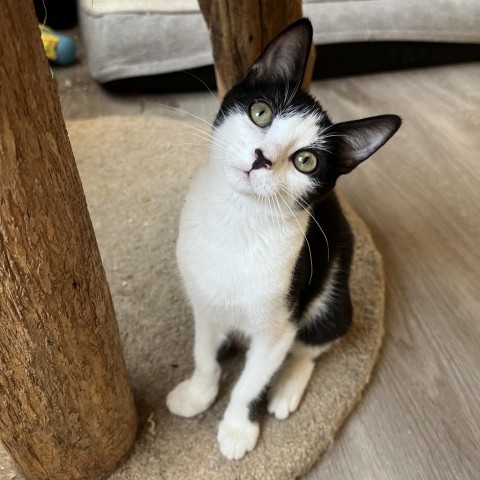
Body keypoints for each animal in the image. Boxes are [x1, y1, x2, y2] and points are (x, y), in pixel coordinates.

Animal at [166, 19, 402, 462]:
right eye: (261, 112)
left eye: (305, 161)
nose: (262, 157)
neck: (238, 220)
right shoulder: (203, 298)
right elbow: (204, 351)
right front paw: (198, 393)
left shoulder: (279, 320)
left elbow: (253, 379)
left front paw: (238, 428)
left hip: (331, 297)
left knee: (312, 343)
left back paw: (287, 387)